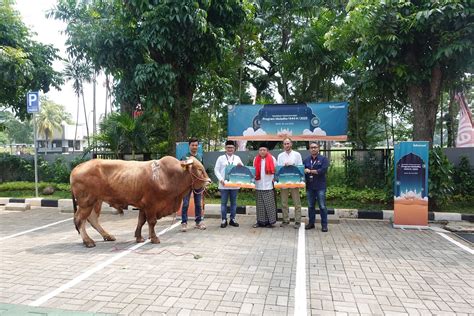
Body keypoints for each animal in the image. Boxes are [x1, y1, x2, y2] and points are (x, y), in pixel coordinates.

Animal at [70, 156, 211, 247]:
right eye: (199, 169)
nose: (209, 181)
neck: (166, 175)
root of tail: (79, 166)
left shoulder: (143, 206)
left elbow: (141, 221)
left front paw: (139, 237)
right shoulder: (151, 205)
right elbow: (151, 222)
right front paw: (154, 238)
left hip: (96, 201)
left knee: (92, 218)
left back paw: (107, 236)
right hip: (86, 202)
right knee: (80, 219)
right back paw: (88, 241)